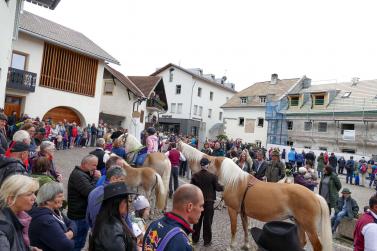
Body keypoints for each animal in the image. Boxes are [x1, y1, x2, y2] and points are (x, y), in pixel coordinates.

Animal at [177, 141, 332, 251]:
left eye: (209, 162)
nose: (196, 168)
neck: (235, 181)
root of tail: (315, 196)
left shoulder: (233, 210)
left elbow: (234, 229)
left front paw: (231, 246)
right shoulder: (243, 212)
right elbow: (246, 229)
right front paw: (245, 245)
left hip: (309, 227)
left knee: (317, 246)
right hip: (299, 223)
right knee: (302, 242)